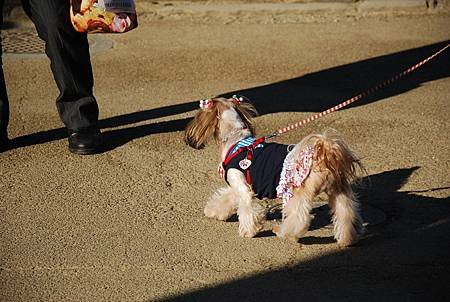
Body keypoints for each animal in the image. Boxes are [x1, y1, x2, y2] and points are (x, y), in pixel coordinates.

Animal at [185, 96, 364, 245]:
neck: (236, 141)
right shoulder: (236, 184)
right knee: (346, 213)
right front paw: (213, 211)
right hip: (339, 191)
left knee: (299, 217)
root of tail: (325, 154)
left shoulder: (243, 188)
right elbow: (225, 197)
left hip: (296, 192)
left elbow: (247, 208)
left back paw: (284, 232)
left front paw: (248, 231)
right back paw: (348, 238)